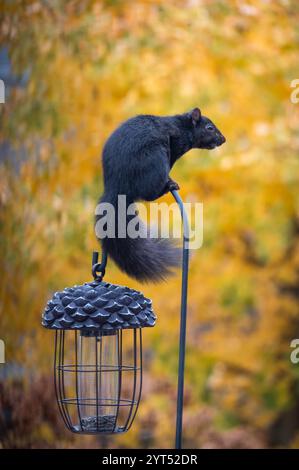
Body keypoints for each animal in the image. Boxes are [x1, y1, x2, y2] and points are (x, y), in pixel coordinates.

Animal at [96, 107, 225, 282]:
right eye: (209, 128)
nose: (223, 139)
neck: (181, 127)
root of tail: (117, 186)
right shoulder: (175, 143)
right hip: (156, 159)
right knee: (149, 193)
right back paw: (168, 185)